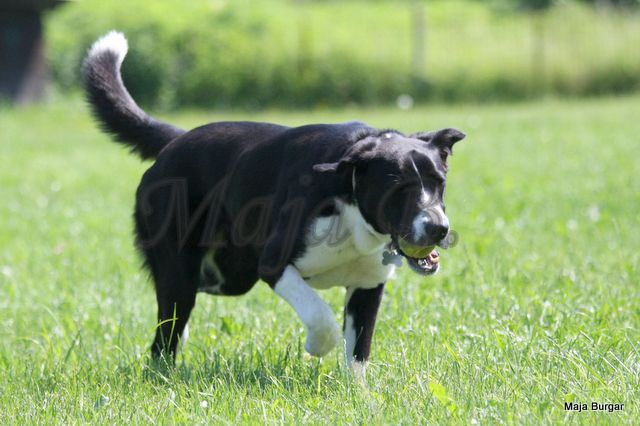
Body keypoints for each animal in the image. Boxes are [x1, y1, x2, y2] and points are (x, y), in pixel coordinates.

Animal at [84, 32, 464, 376]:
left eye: (439, 182)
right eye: (398, 187)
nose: (438, 228)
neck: (350, 201)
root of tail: (175, 142)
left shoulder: (367, 285)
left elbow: (358, 353)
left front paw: (359, 396)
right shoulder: (273, 264)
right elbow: (319, 316)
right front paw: (315, 346)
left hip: (229, 276)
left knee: (178, 311)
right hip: (181, 269)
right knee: (164, 333)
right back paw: (164, 372)